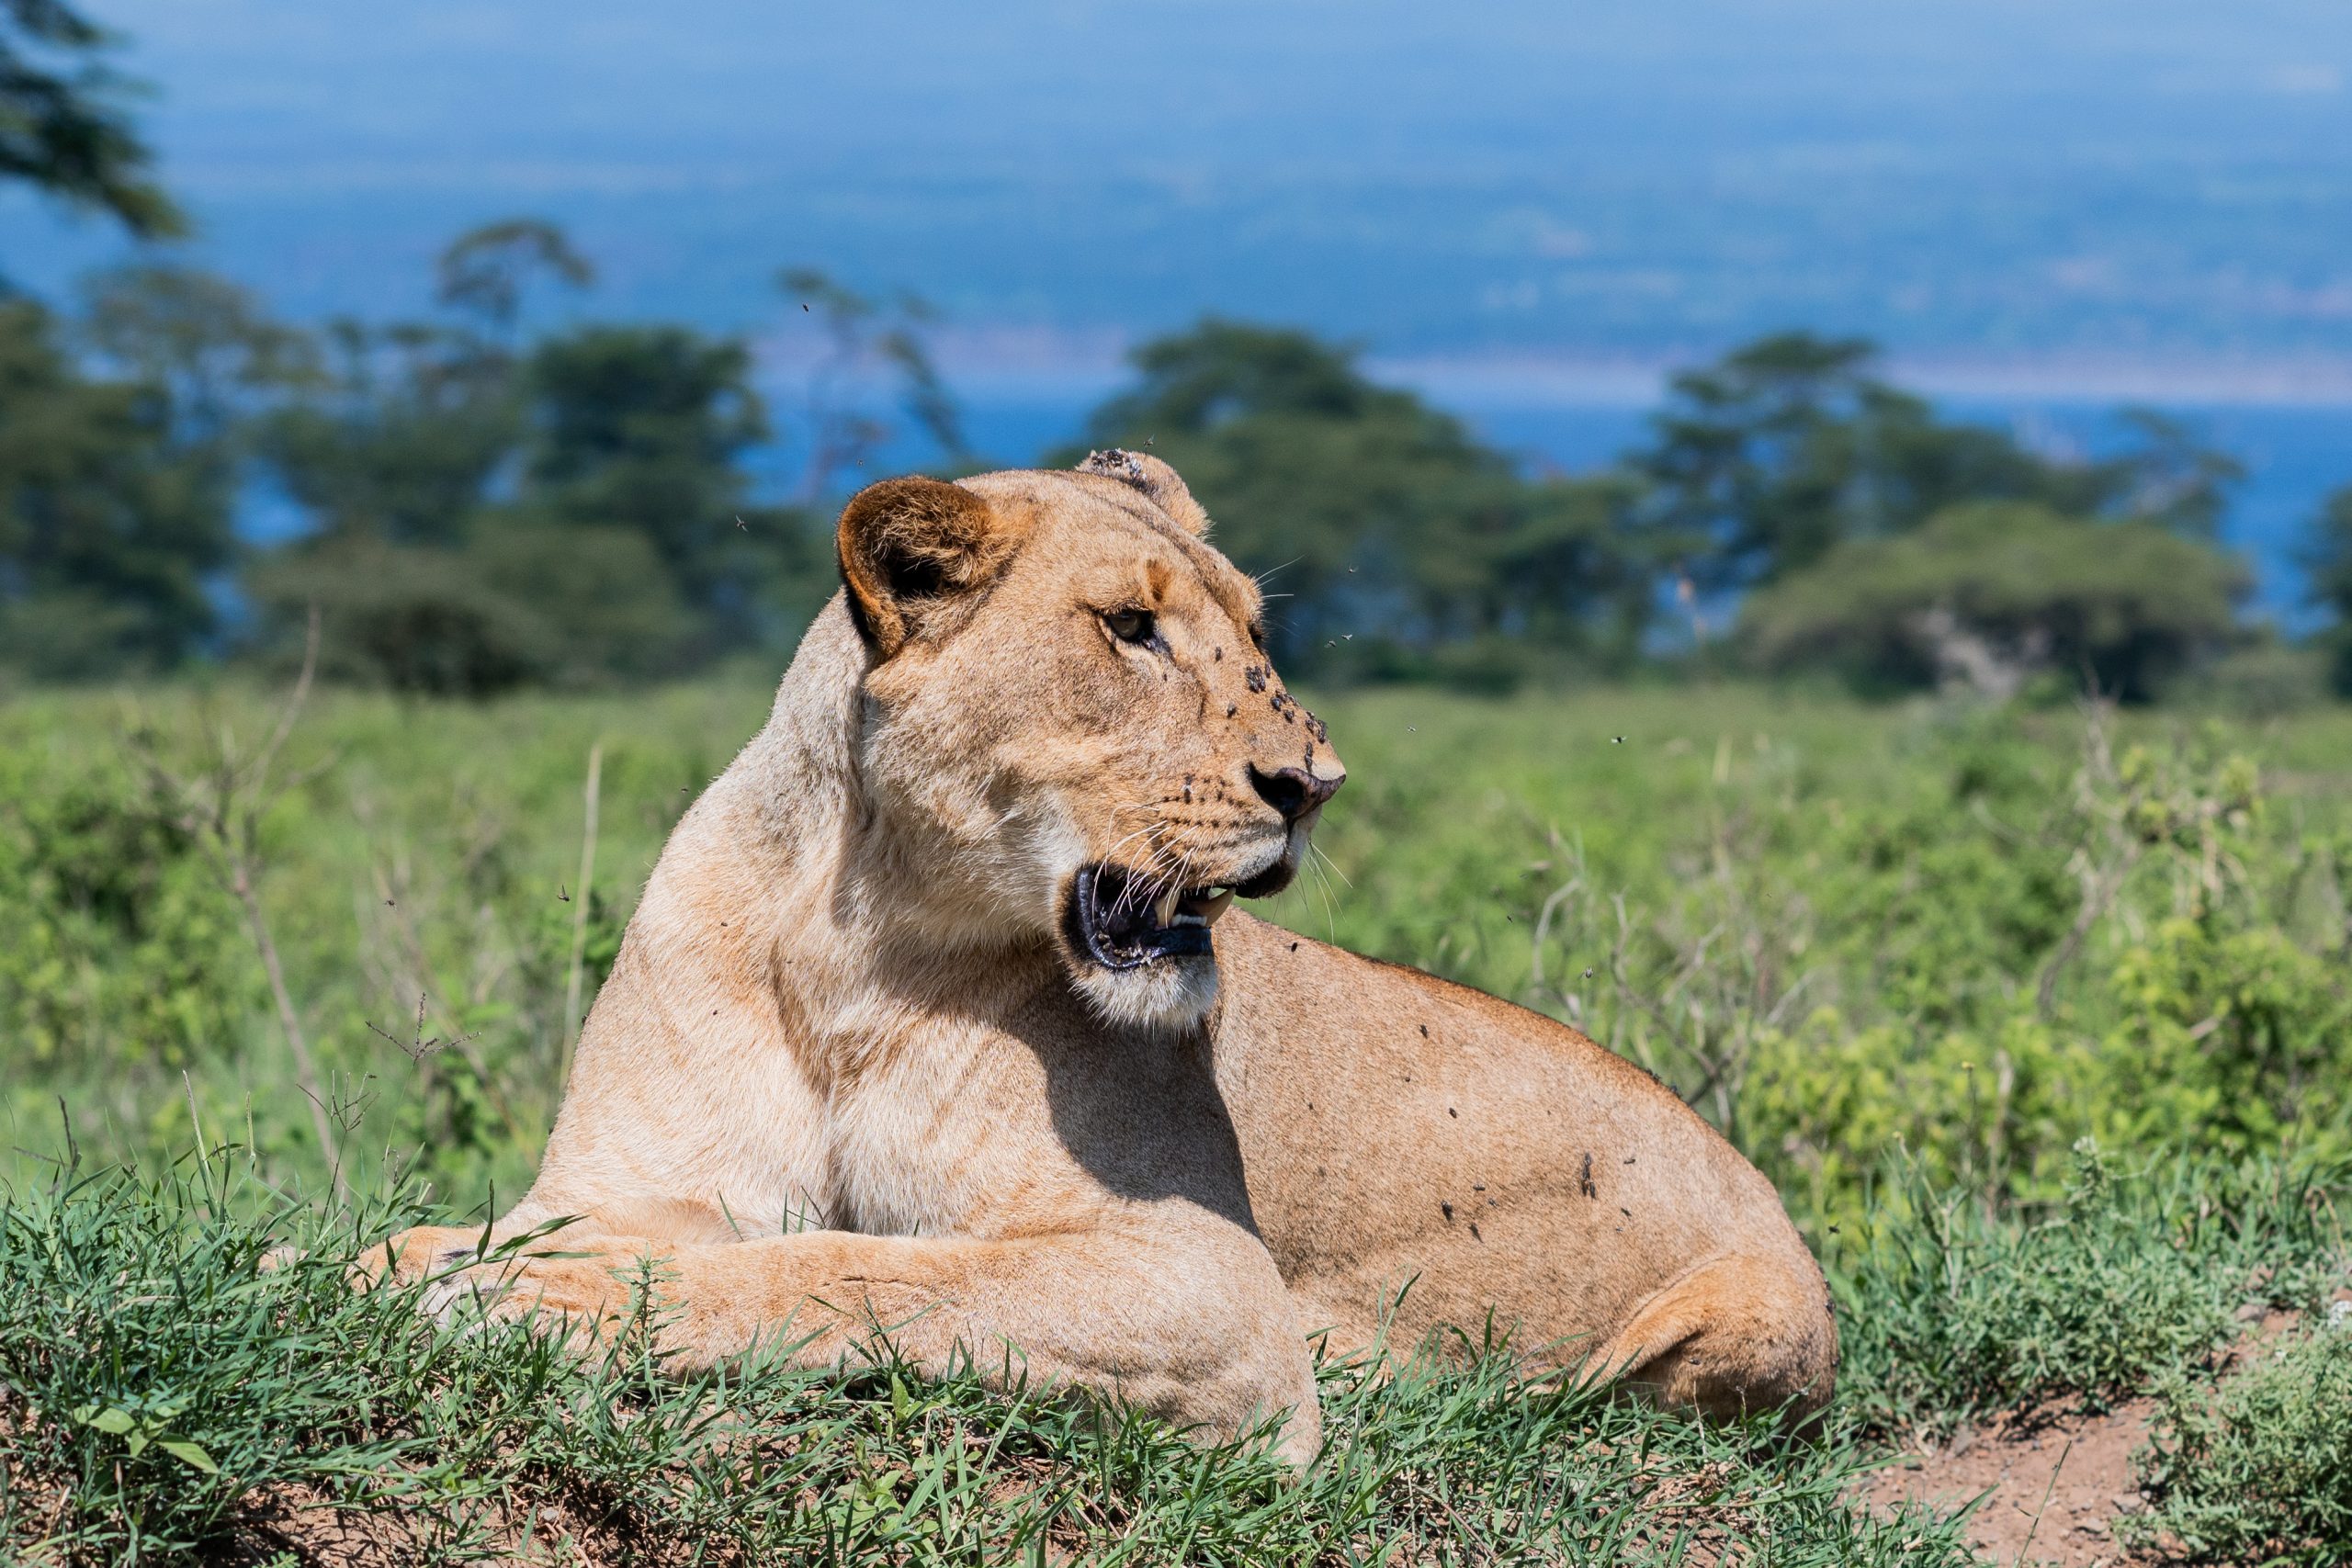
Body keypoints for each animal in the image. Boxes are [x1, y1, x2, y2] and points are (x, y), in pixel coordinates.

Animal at [378, 453, 1835, 1466]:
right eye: (1130, 629)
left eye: (1253, 631)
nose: (1314, 786)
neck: (860, 939)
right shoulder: (630, 1179)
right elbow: (510, 1230)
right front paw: (416, 1259)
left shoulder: (1204, 1277)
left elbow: (861, 1268)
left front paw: (532, 1293)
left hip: (1753, 1324)